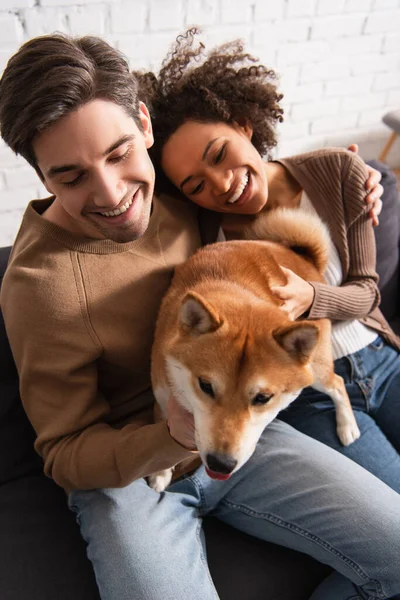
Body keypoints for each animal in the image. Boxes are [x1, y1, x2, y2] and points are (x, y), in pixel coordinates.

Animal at [148, 207, 360, 492]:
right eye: (206, 386)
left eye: (263, 398)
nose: (221, 464)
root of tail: (306, 261)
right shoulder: (162, 396)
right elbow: (163, 431)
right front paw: (160, 473)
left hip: (316, 369)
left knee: (337, 383)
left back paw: (347, 426)